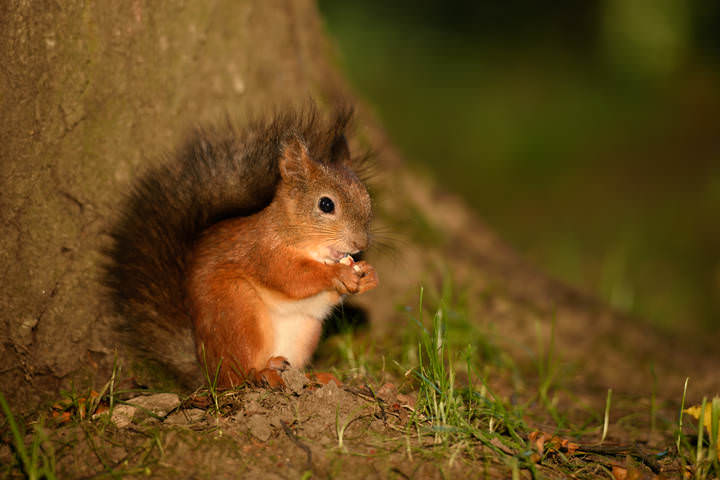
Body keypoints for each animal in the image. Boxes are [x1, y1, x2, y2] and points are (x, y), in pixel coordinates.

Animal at [105, 106, 378, 388]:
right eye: (326, 204)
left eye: (367, 198)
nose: (360, 243)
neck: (300, 239)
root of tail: (208, 372)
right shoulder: (264, 251)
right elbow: (293, 277)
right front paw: (337, 273)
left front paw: (367, 276)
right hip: (239, 314)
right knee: (237, 375)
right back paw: (261, 373)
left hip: (305, 332)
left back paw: (313, 377)